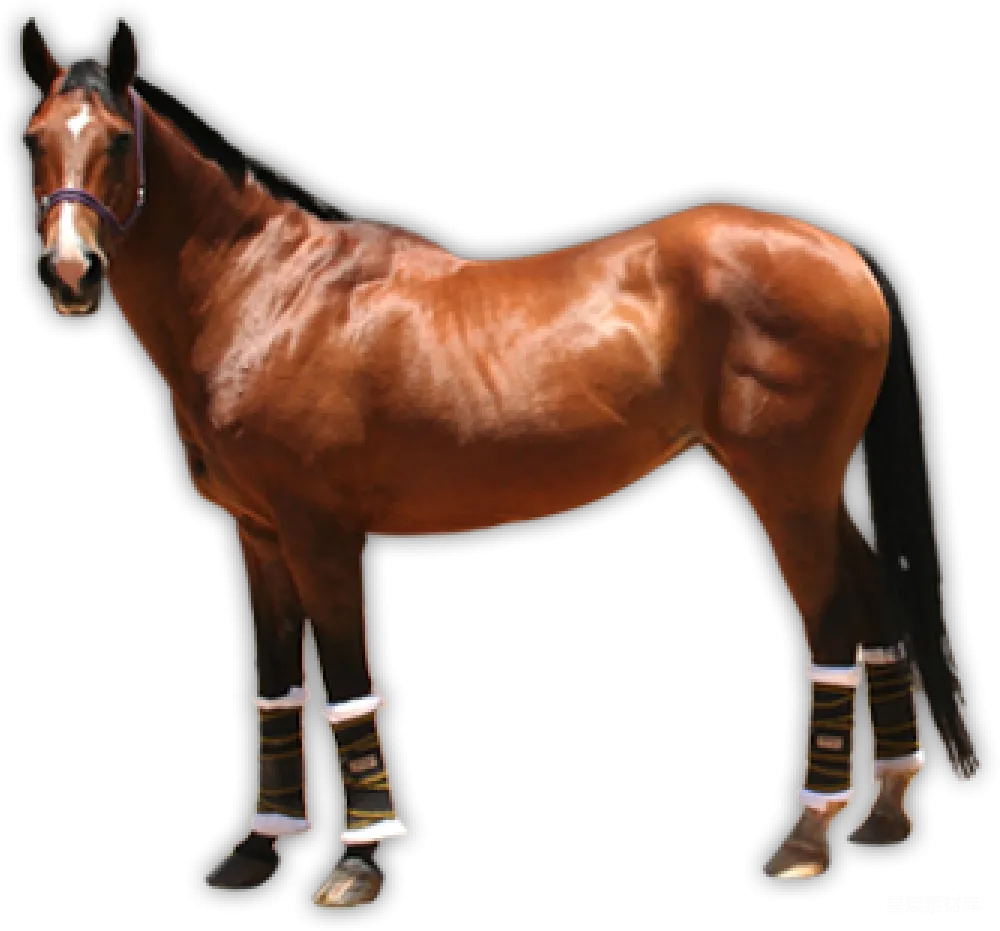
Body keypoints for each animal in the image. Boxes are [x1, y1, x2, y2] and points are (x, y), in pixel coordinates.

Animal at [19, 17, 979, 908]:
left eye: (116, 138)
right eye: (33, 138)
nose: (71, 271)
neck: (274, 293)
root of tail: (842, 251)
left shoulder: (321, 532)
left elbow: (346, 686)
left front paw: (358, 861)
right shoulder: (256, 534)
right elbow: (275, 689)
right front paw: (256, 849)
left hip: (787, 490)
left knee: (831, 622)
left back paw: (807, 834)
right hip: (814, 492)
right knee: (878, 600)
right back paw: (885, 809)